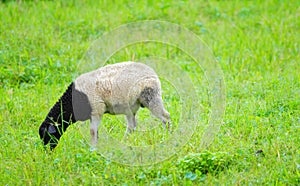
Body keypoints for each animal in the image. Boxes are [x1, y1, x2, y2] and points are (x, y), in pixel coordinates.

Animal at [39, 61, 171, 149]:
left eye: (47, 135)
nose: (48, 152)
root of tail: (152, 73)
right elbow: (95, 132)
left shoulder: (96, 110)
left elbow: (93, 132)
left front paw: (92, 148)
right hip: (131, 106)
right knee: (132, 126)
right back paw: (124, 141)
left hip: (150, 97)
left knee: (165, 117)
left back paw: (167, 136)